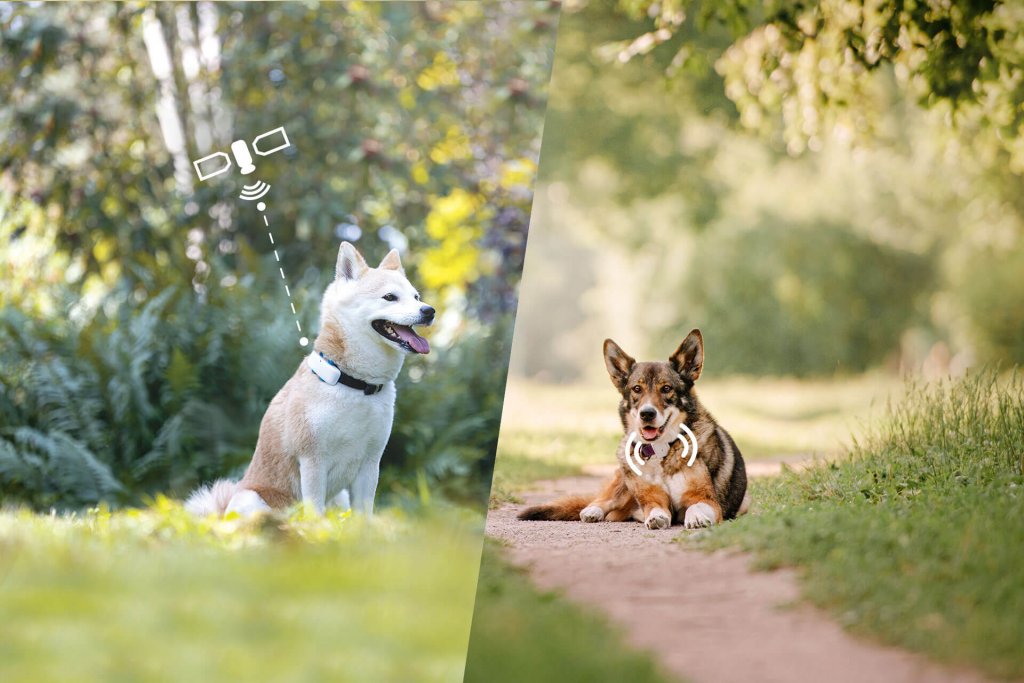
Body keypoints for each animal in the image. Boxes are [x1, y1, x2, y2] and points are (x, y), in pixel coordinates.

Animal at [186, 242, 434, 516]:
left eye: (416, 297)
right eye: (390, 297)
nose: (429, 311)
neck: (355, 384)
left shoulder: (370, 464)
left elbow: (364, 515)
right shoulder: (313, 460)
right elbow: (315, 511)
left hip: (340, 499)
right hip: (251, 499)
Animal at [520, 329, 753, 528]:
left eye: (666, 388)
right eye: (637, 389)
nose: (647, 414)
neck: (660, 451)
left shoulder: (706, 499)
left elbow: (695, 507)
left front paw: (695, 517)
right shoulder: (653, 498)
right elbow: (655, 508)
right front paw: (656, 517)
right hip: (623, 477)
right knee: (601, 500)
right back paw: (592, 511)